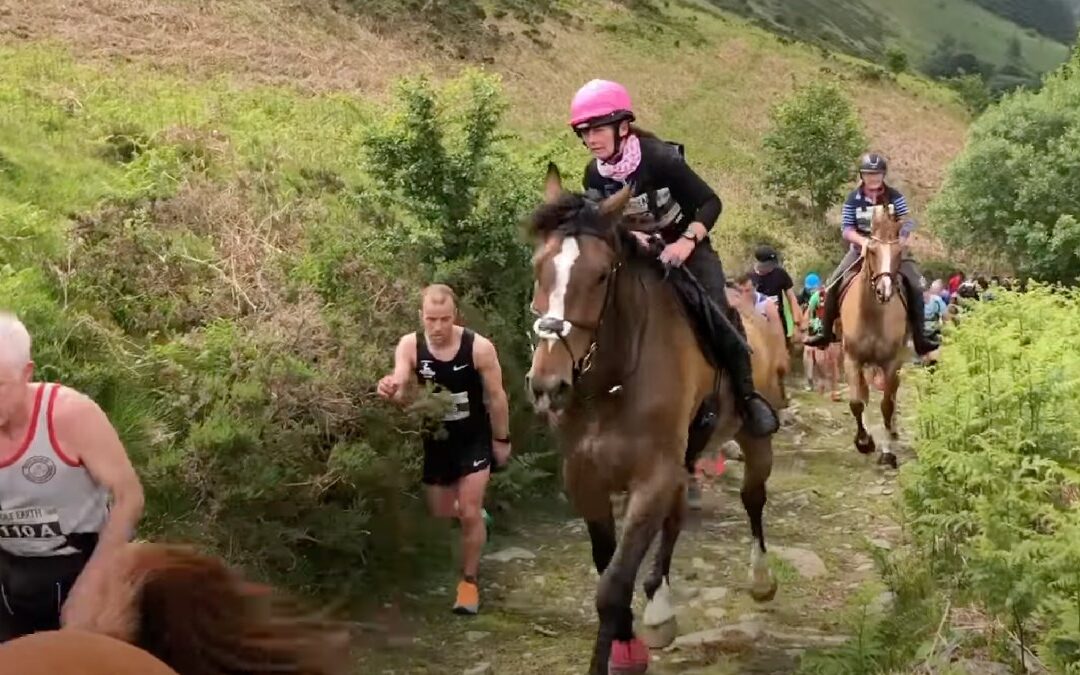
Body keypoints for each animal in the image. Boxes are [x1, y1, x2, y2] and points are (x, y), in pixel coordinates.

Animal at [524, 164, 773, 673]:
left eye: (601, 276)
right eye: (539, 267)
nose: (548, 385)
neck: (610, 383)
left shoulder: (652, 478)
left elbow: (613, 585)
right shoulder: (586, 479)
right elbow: (608, 566)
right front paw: (627, 643)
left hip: (753, 437)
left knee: (753, 497)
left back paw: (760, 578)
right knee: (676, 520)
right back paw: (660, 608)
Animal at [838, 204, 907, 468]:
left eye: (899, 252)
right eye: (873, 251)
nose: (884, 291)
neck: (872, 316)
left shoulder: (891, 362)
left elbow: (886, 404)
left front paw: (887, 453)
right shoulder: (851, 359)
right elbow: (857, 402)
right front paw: (864, 442)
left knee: (893, 394)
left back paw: (893, 432)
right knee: (865, 394)